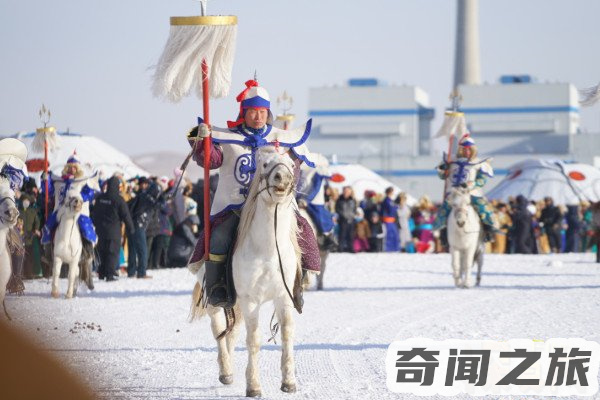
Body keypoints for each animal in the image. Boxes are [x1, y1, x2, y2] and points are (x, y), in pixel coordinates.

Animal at [191, 148, 302, 398]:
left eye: (291, 164)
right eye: (265, 164)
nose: (282, 177)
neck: (268, 249)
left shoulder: (283, 297)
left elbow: (287, 334)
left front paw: (289, 382)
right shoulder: (251, 301)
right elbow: (254, 340)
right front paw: (253, 386)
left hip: (236, 303)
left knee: (231, 333)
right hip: (215, 301)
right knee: (219, 330)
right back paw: (225, 371)